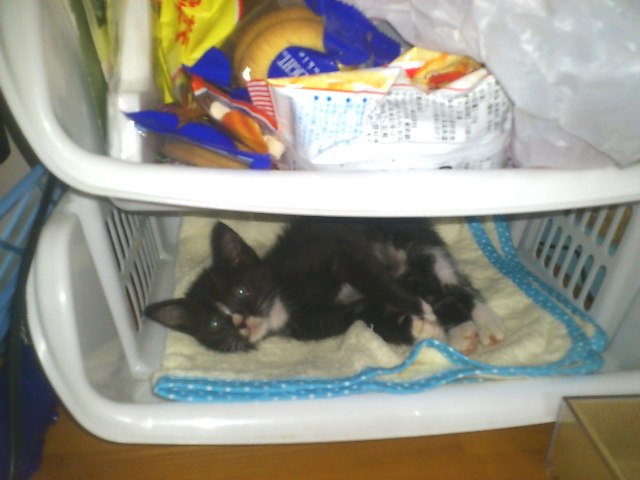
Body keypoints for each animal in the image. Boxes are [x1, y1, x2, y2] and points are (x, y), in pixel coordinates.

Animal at [144, 218, 505, 354]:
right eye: (215, 326)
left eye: (241, 292)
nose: (241, 322)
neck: (287, 297)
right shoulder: (323, 321)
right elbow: (366, 319)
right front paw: (418, 329)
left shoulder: (338, 254)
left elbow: (375, 281)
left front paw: (417, 311)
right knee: (444, 293)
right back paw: (463, 331)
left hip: (409, 248)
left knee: (456, 287)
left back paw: (486, 322)